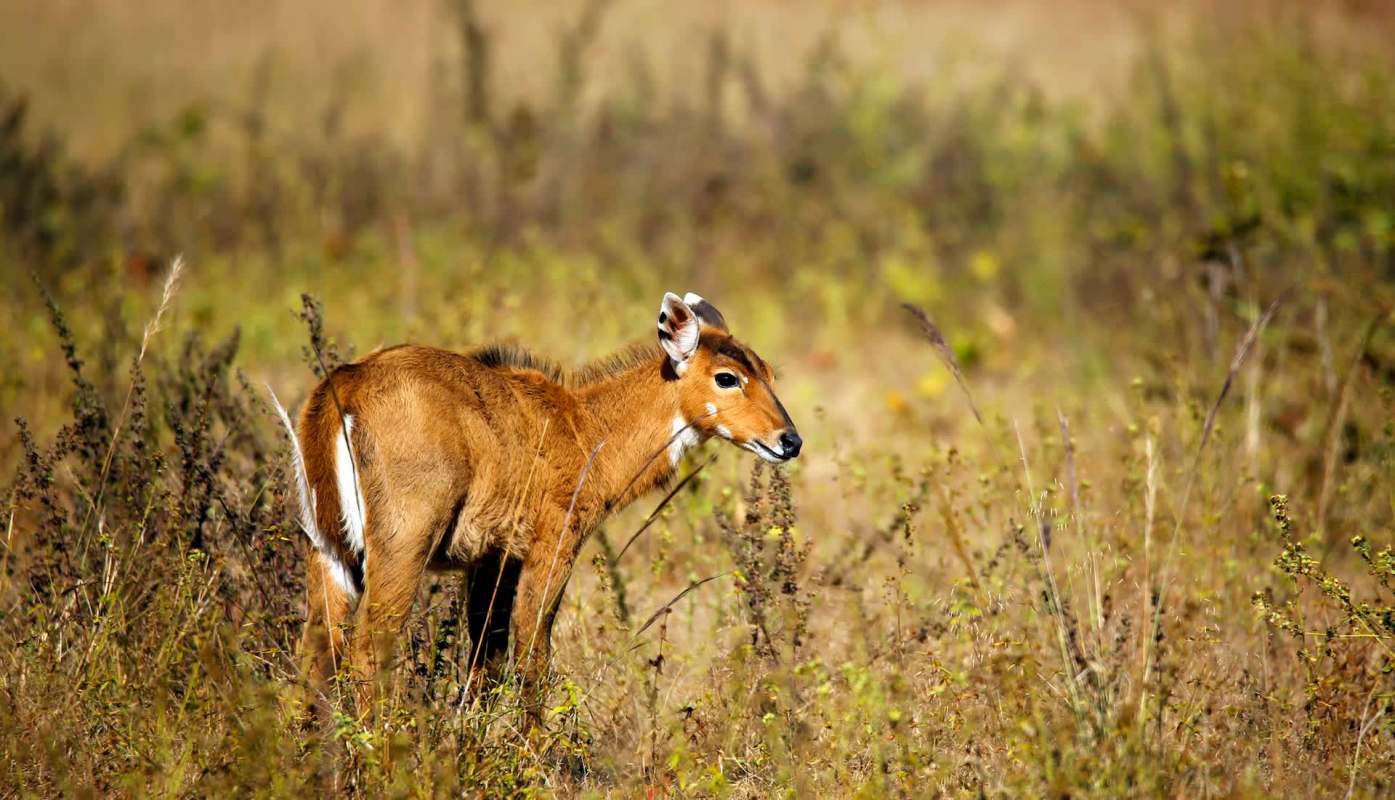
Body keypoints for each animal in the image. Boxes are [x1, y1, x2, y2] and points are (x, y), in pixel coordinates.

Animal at [271, 292, 801, 719]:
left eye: (770, 373)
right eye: (727, 377)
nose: (789, 441)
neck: (585, 428)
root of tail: (342, 387)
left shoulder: (491, 560)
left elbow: (484, 662)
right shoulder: (552, 546)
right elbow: (532, 656)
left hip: (329, 551)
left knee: (313, 656)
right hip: (401, 546)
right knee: (367, 651)